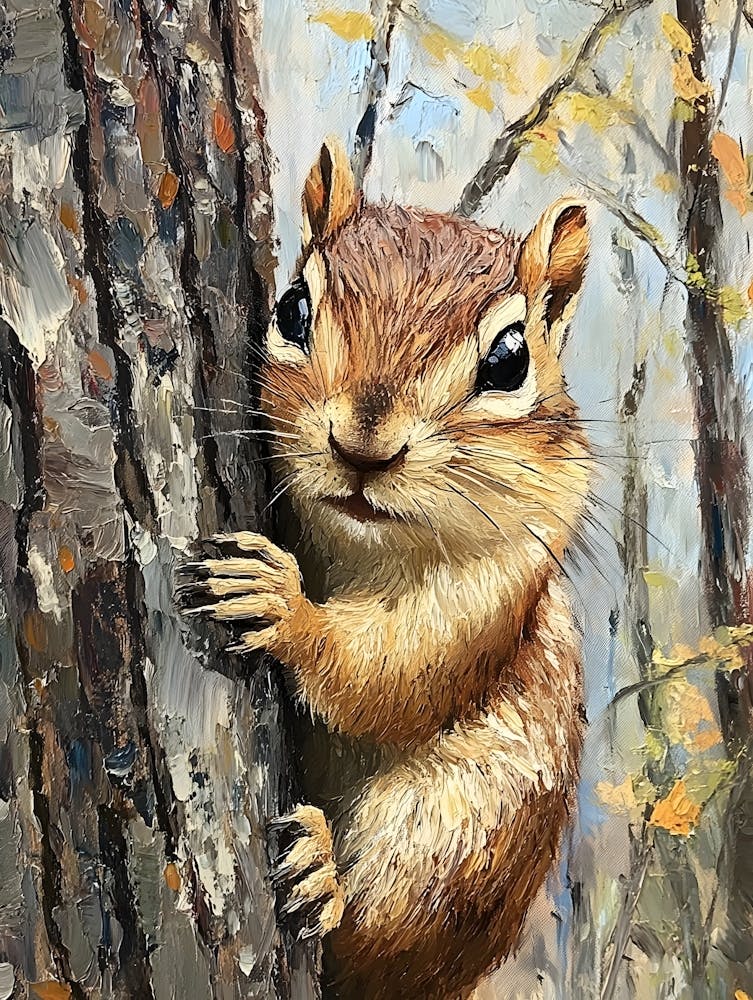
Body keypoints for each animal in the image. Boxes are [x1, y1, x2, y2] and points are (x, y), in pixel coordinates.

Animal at [182, 137, 591, 999]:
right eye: (291, 309)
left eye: (510, 359)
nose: (362, 448)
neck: (360, 545)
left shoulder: (498, 585)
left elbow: (393, 672)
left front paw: (282, 605)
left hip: (450, 833)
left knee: (375, 937)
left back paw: (321, 876)